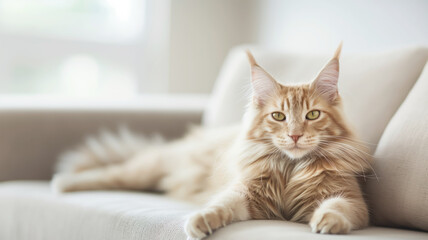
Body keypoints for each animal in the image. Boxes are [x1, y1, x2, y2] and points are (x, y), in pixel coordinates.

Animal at [51, 44, 372, 238]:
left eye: (313, 114)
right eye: (279, 116)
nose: (294, 135)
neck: (290, 169)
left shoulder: (351, 199)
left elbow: (337, 208)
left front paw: (328, 222)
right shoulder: (245, 194)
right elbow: (220, 204)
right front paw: (199, 220)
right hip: (145, 170)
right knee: (111, 173)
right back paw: (63, 183)